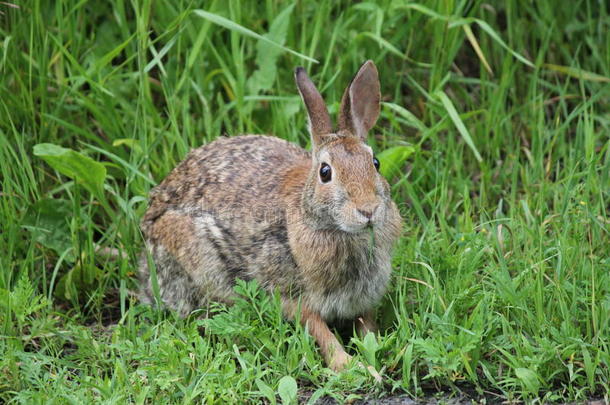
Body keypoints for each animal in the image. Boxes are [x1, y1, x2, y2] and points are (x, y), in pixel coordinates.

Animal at [140, 58, 402, 370]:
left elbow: (366, 327)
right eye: (325, 172)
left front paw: (374, 350)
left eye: (375, 163)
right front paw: (350, 365)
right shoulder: (290, 294)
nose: (368, 210)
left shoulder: (364, 299)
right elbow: (319, 330)